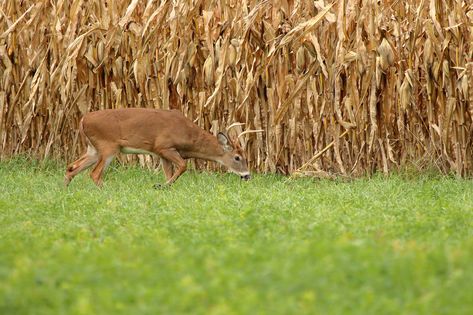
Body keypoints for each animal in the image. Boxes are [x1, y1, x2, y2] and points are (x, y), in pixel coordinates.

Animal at [65, 108, 253, 188]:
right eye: (237, 157)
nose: (247, 175)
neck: (188, 136)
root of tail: (83, 120)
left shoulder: (162, 154)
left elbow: (170, 172)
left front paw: (165, 187)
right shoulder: (164, 147)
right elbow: (183, 166)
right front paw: (160, 185)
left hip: (93, 149)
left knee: (71, 167)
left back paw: (66, 190)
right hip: (108, 146)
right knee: (94, 173)